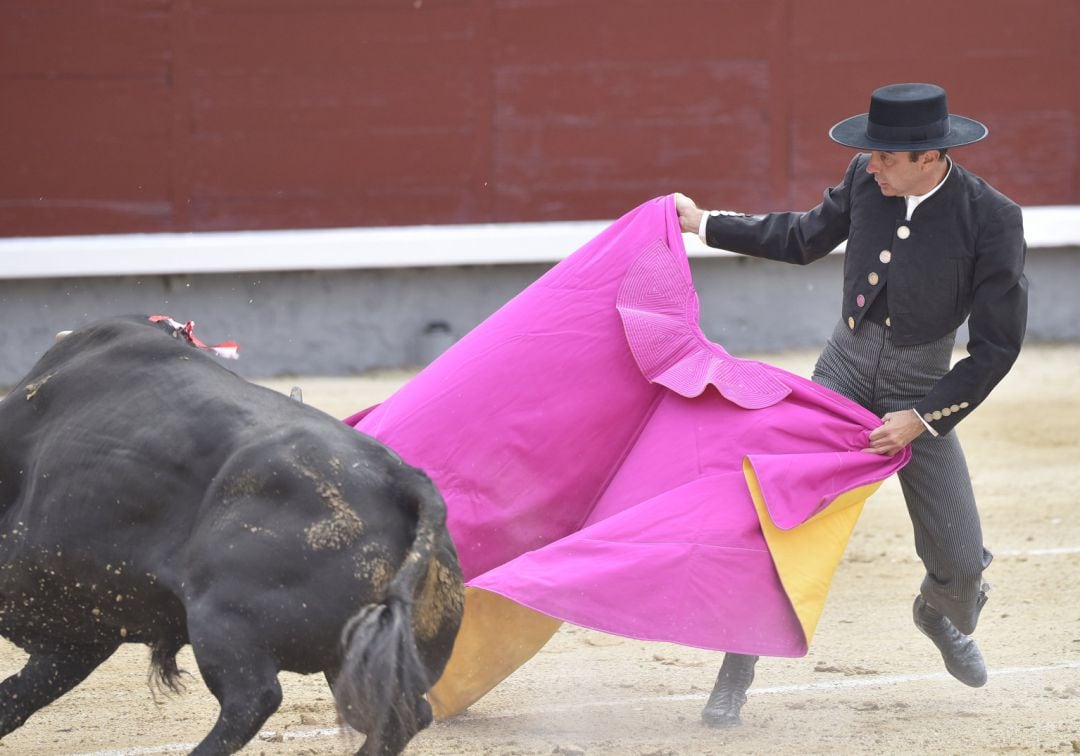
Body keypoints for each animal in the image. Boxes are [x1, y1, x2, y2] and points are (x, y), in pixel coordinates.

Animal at [0, 315, 464, 751]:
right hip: (357, 657)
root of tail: (402, 480)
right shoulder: (77, 634)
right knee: (402, 715)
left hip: (223, 620)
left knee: (253, 699)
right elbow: (18, 694)